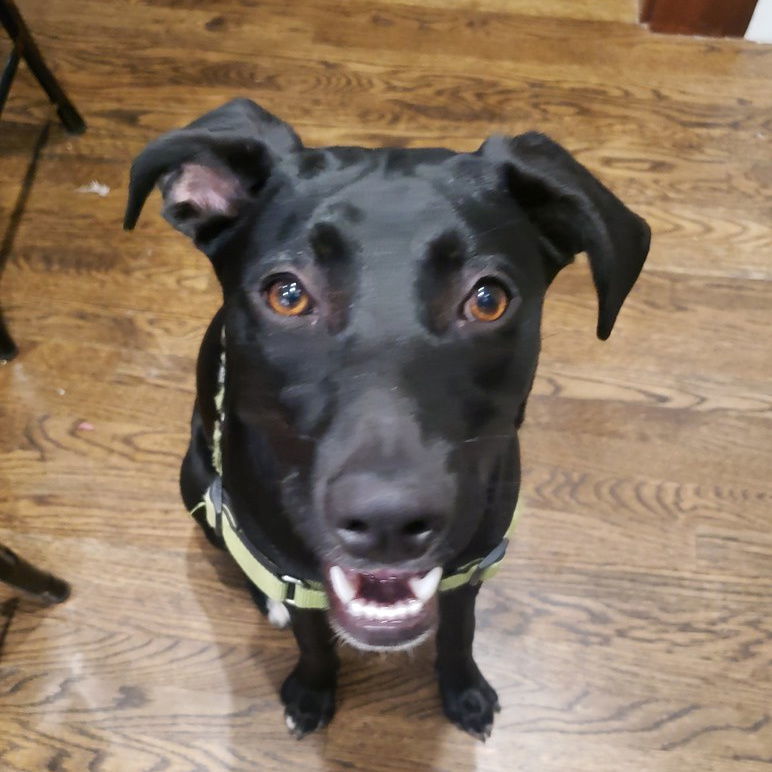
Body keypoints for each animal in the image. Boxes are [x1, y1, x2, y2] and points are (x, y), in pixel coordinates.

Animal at [123, 99, 648, 740]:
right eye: (287, 295)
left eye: (488, 300)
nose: (387, 522)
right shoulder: (297, 575)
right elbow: (312, 637)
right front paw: (312, 691)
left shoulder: (468, 571)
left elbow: (459, 632)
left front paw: (464, 691)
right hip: (194, 480)